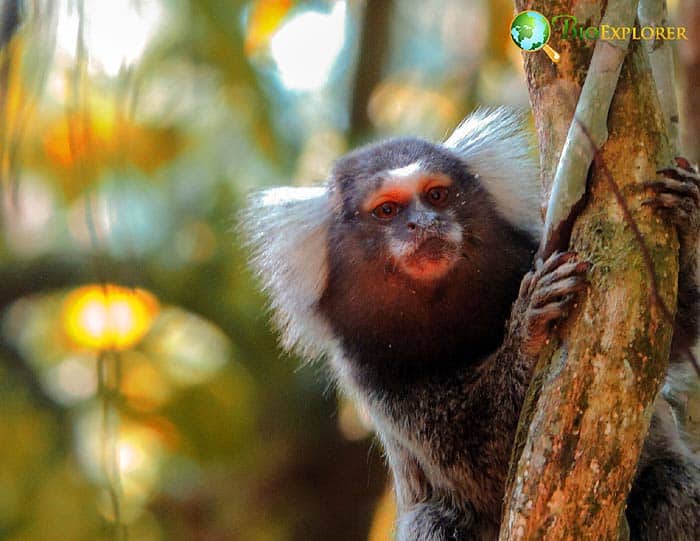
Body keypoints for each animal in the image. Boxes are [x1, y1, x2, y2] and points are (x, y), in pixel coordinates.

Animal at [243, 108, 700, 540]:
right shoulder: (373, 372)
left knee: (672, 483)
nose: (423, 224)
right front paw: (526, 329)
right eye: (387, 210)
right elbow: (480, 455)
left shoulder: (536, 252)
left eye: (437, 195)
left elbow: (664, 336)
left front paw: (688, 215)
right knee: (432, 520)